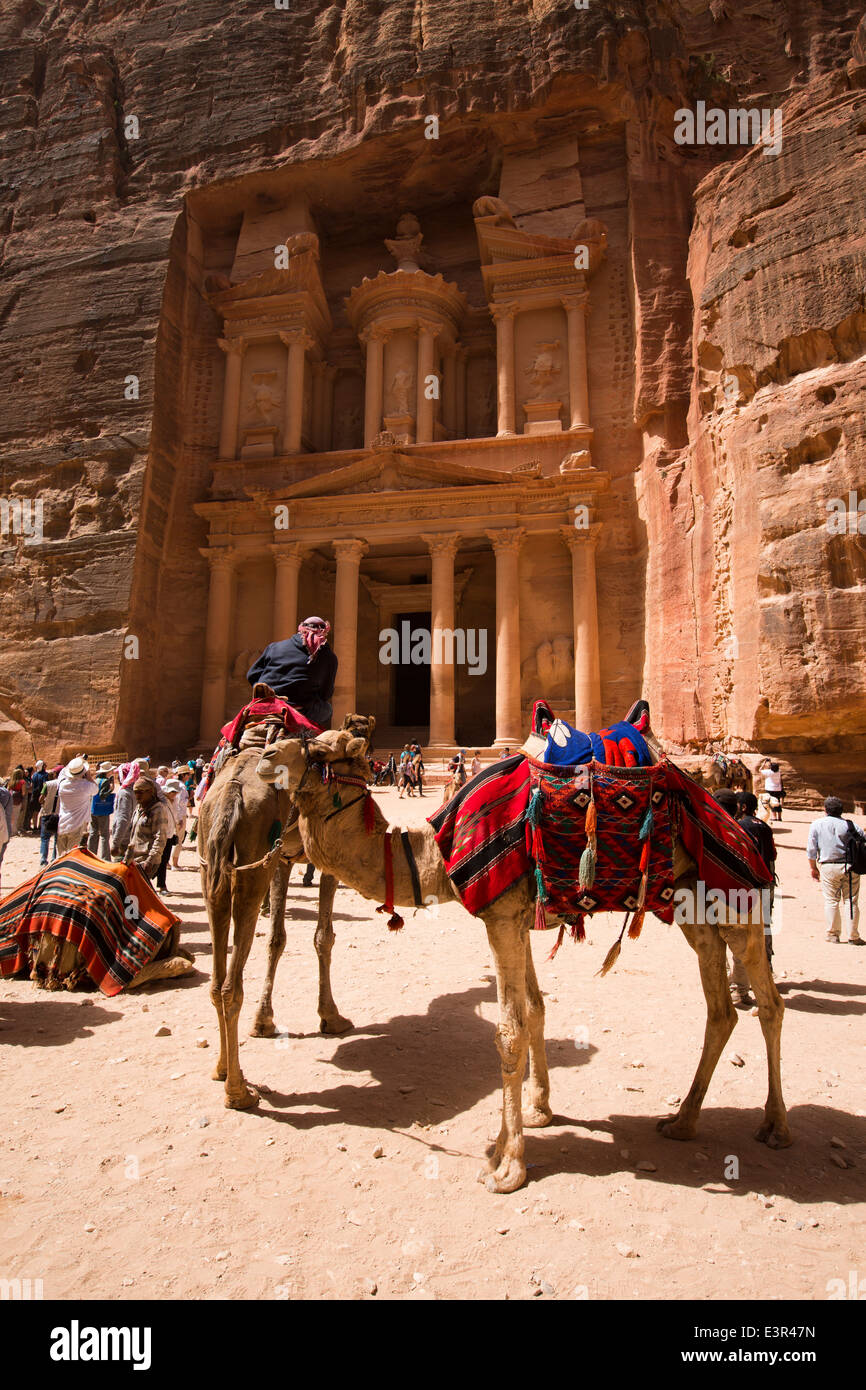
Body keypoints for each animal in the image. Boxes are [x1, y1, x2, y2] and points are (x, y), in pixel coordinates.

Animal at [254, 700, 789, 1189]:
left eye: (323, 749)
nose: (265, 754)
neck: (435, 852)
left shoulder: (500, 916)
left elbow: (509, 1031)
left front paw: (508, 1165)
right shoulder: (517, 919)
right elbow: (534, 1011)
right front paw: (536, 1113)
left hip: (738, 898)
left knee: (769, 1004)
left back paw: (775, 1125)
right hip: (692, 908)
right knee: (720, 1010)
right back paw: (683, 1120)